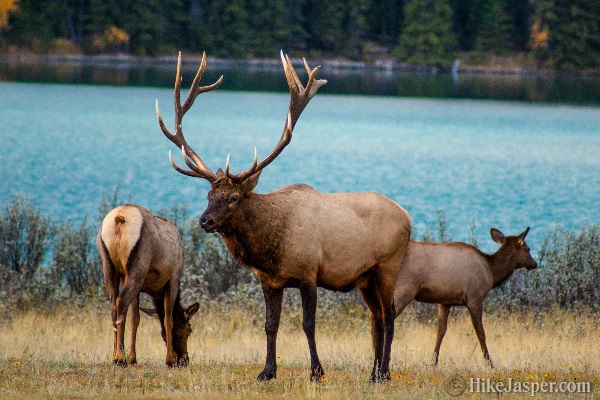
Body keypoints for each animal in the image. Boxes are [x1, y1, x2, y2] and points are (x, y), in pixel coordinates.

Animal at [96, 205, 199, 368]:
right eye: (189, 329)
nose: (184, 360)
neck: (156, 292)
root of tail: (119, 218)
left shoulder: (137, 287)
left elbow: (136, 318)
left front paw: (133, 357)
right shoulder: (173, 280)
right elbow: (168, 319)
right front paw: (169, 359)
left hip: (109, 267)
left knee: (113, 306)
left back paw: (114, 356)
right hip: (137, 267)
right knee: (121, 302)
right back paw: (119, 357)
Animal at [155, 52, 412, 382]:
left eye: (234, 198)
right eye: (209, 196)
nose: (205, 221)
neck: (270, 249)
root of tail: (408, 217)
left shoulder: (309, 274)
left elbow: (308, 324)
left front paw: (316, 371)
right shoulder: (269, 281)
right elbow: (270, 325)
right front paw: (267, 371)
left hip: (388, 266)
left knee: (390, 314)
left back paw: (385, 373)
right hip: (365, 277)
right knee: (376, 316)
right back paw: (373, 373)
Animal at [394, 227, 540, 368]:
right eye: (528, 249)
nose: (535, 263)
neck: (491, 273)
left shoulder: (445, 301)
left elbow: (440, 331)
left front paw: (433, 363)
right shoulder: (475, 298)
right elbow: (481, 333)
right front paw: (490, 364)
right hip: (405, 289)